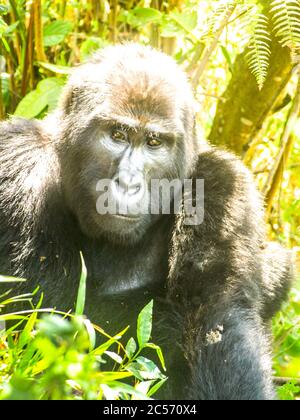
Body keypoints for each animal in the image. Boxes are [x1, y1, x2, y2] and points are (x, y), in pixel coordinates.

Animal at [0, 43, 292, 400]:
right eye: (117, 135)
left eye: (154, 142)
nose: (128, 183)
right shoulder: (16, 156)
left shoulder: (222, 186)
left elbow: (219, 320)